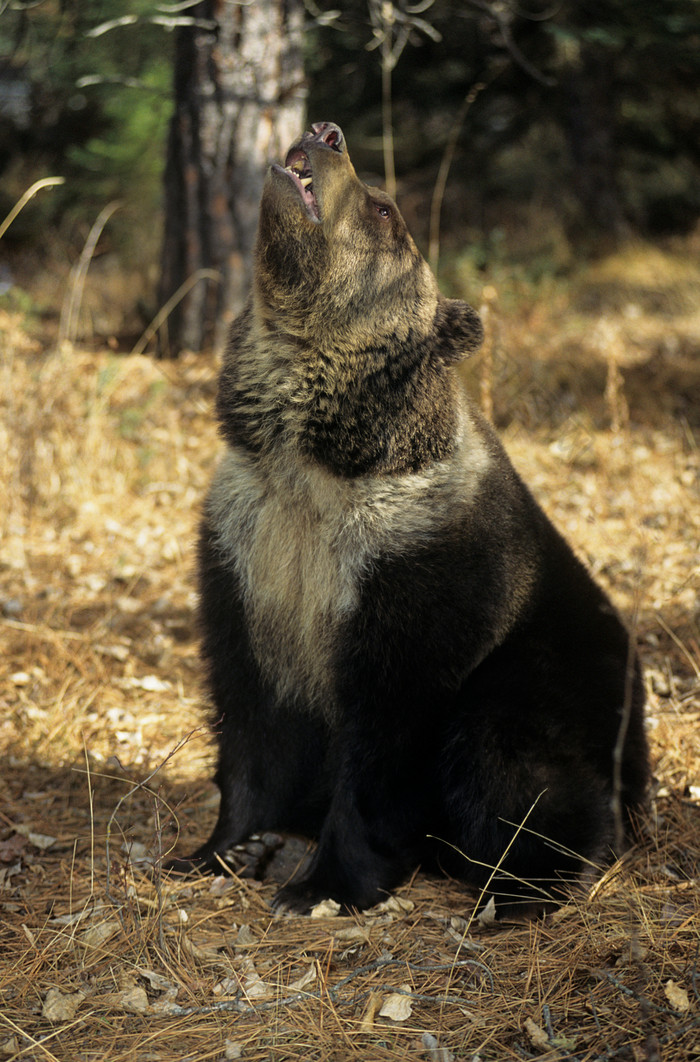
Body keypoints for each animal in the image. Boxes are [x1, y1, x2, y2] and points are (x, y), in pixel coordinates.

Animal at [166, 120, 650, 917]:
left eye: (386, 208)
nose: (325, 131)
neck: (321, 458)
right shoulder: (249, 549)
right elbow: (248, 709)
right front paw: (225, 847)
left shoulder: (418, 559)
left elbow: (389, 729)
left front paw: (321, 886)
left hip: (558, 673)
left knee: (512, 757)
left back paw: (520, 888)